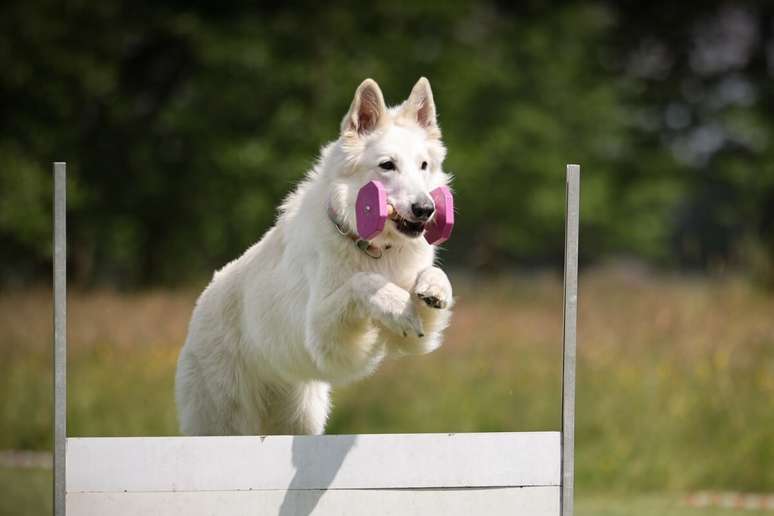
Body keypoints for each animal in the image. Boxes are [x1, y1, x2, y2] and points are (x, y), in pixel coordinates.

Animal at [176, 76, 454, 436]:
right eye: (387, 166)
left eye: (423, 166)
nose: (425, 209)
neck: (373, 249)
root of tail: (199, 307)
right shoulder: (326, 338)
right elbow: (362, 283)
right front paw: (396, 305)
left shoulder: (415, 341)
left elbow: (433, 278)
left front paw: (433, 289)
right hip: (227, 424)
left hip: (301, 418)